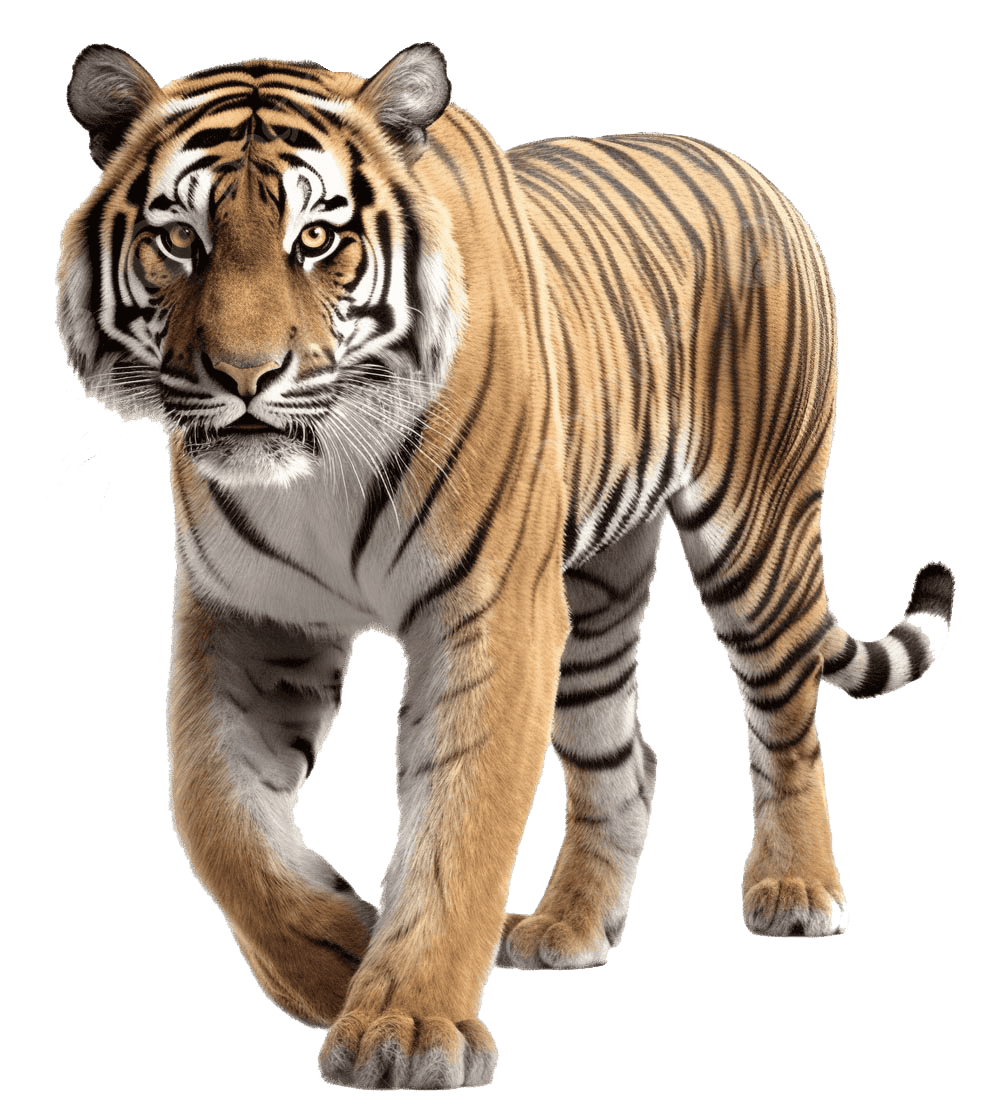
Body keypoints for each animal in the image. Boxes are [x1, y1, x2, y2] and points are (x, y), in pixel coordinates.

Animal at [56, 41, 954, 1090]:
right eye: (180, 240)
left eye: (317, 240)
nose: (245, 377)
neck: (318, 467)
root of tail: (753, 172)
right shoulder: (251, 617)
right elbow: (212, 814)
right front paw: (331, 960)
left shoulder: (489, 612)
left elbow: (460, 821)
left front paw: (405, 1027)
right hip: (592, 598)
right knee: (624, 762)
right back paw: (570, 928)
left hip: (756, 532)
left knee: (787, 720)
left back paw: (797, 889)